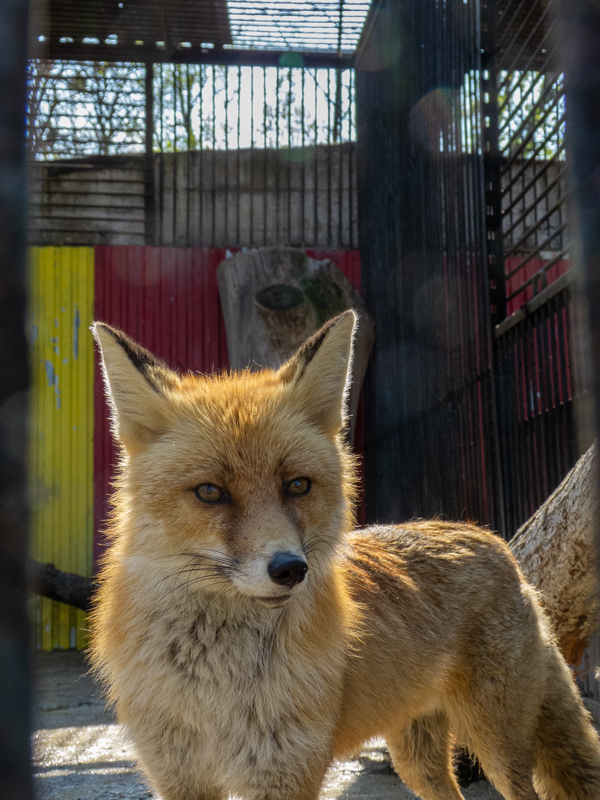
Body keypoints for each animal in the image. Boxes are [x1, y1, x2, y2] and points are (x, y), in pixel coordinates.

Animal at [90, 310, 600, 800]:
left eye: (297, 485)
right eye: (210, 492)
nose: (290, 569)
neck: (217, 687)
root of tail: (489, 537)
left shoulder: (285, 774)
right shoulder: (179, 777)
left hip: (496, 745)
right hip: (416, 761)